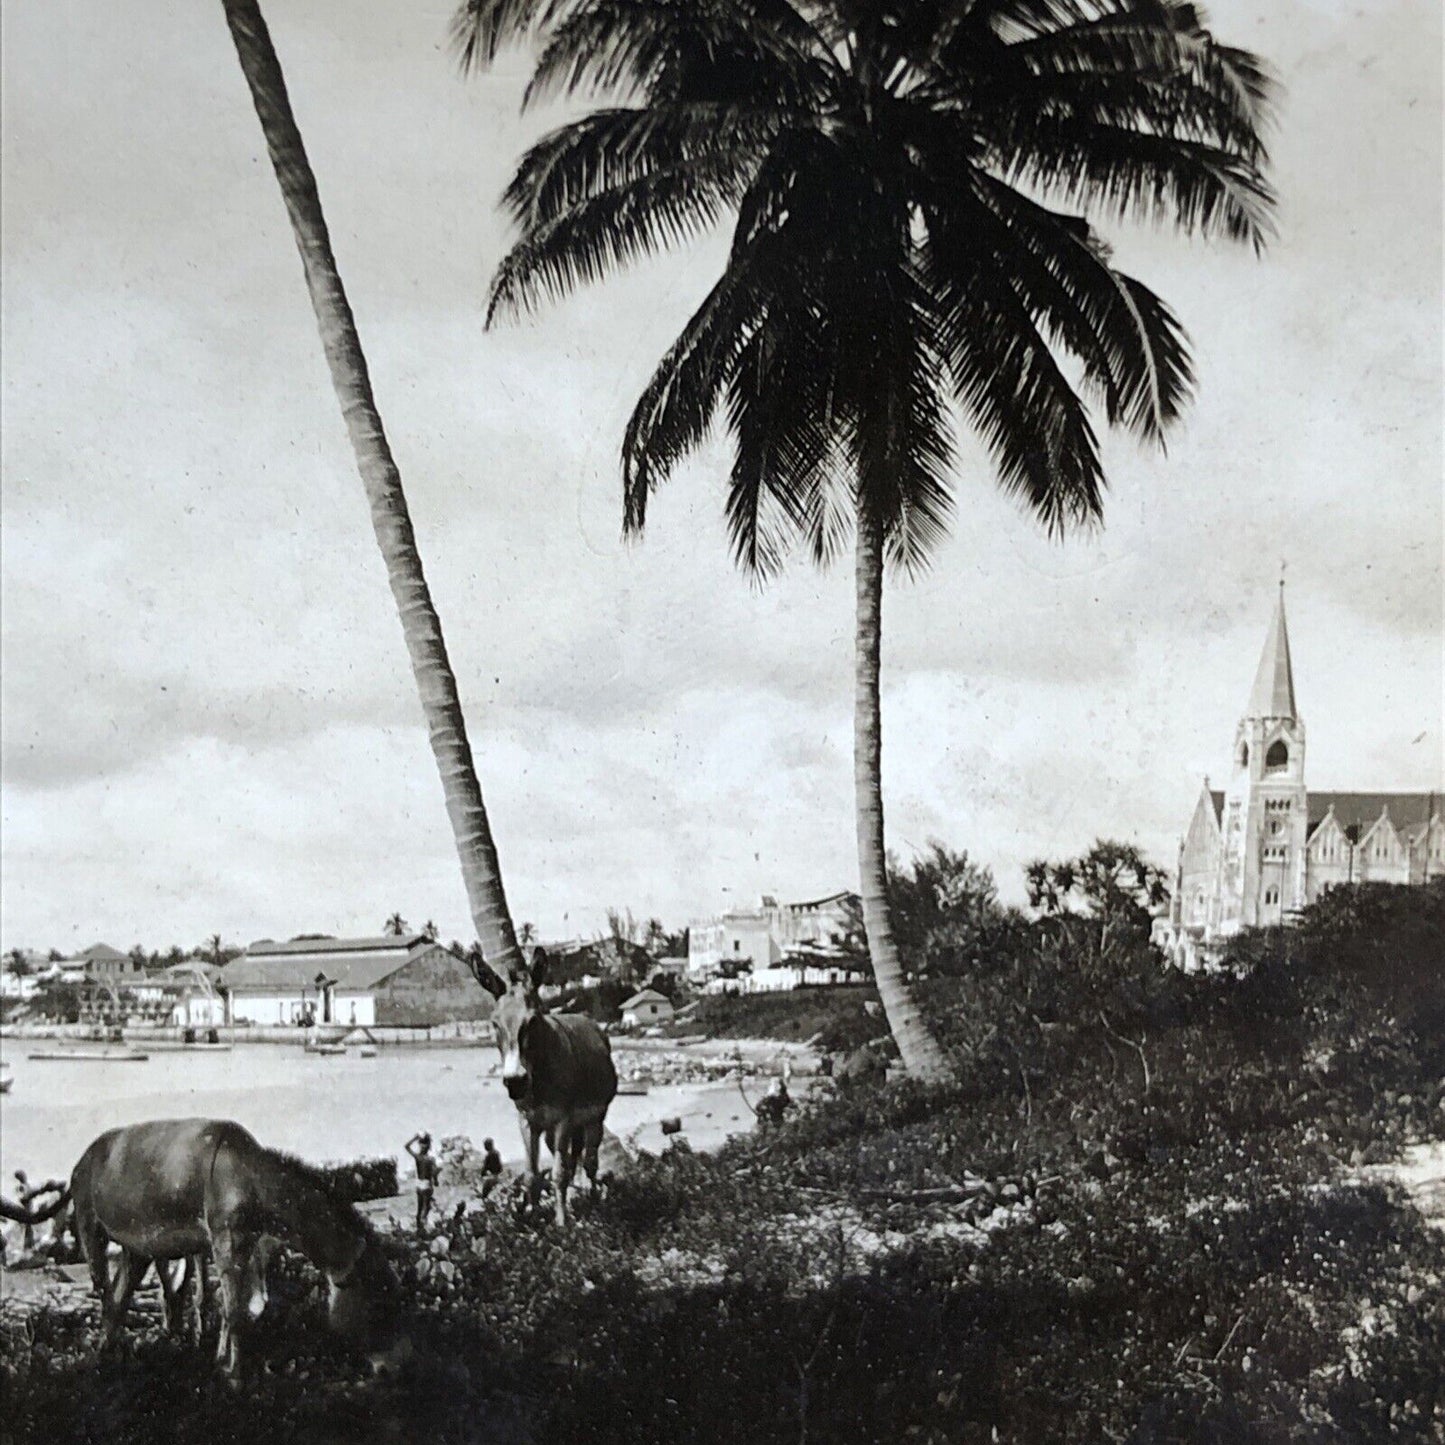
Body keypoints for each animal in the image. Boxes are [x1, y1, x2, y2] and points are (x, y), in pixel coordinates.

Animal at [476, 953, 618, 1225]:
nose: (515, 1082)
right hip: (554, 1131)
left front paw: (561, 1224)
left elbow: (559, 1173)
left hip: (594, 1118)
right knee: (572, 1161)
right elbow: (532, 1174)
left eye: (531, 1021)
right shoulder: (527, 1121)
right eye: (494, 1024)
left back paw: (594, 1204)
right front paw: (535, 1219)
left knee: (589, 1162)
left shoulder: (563, 1119)